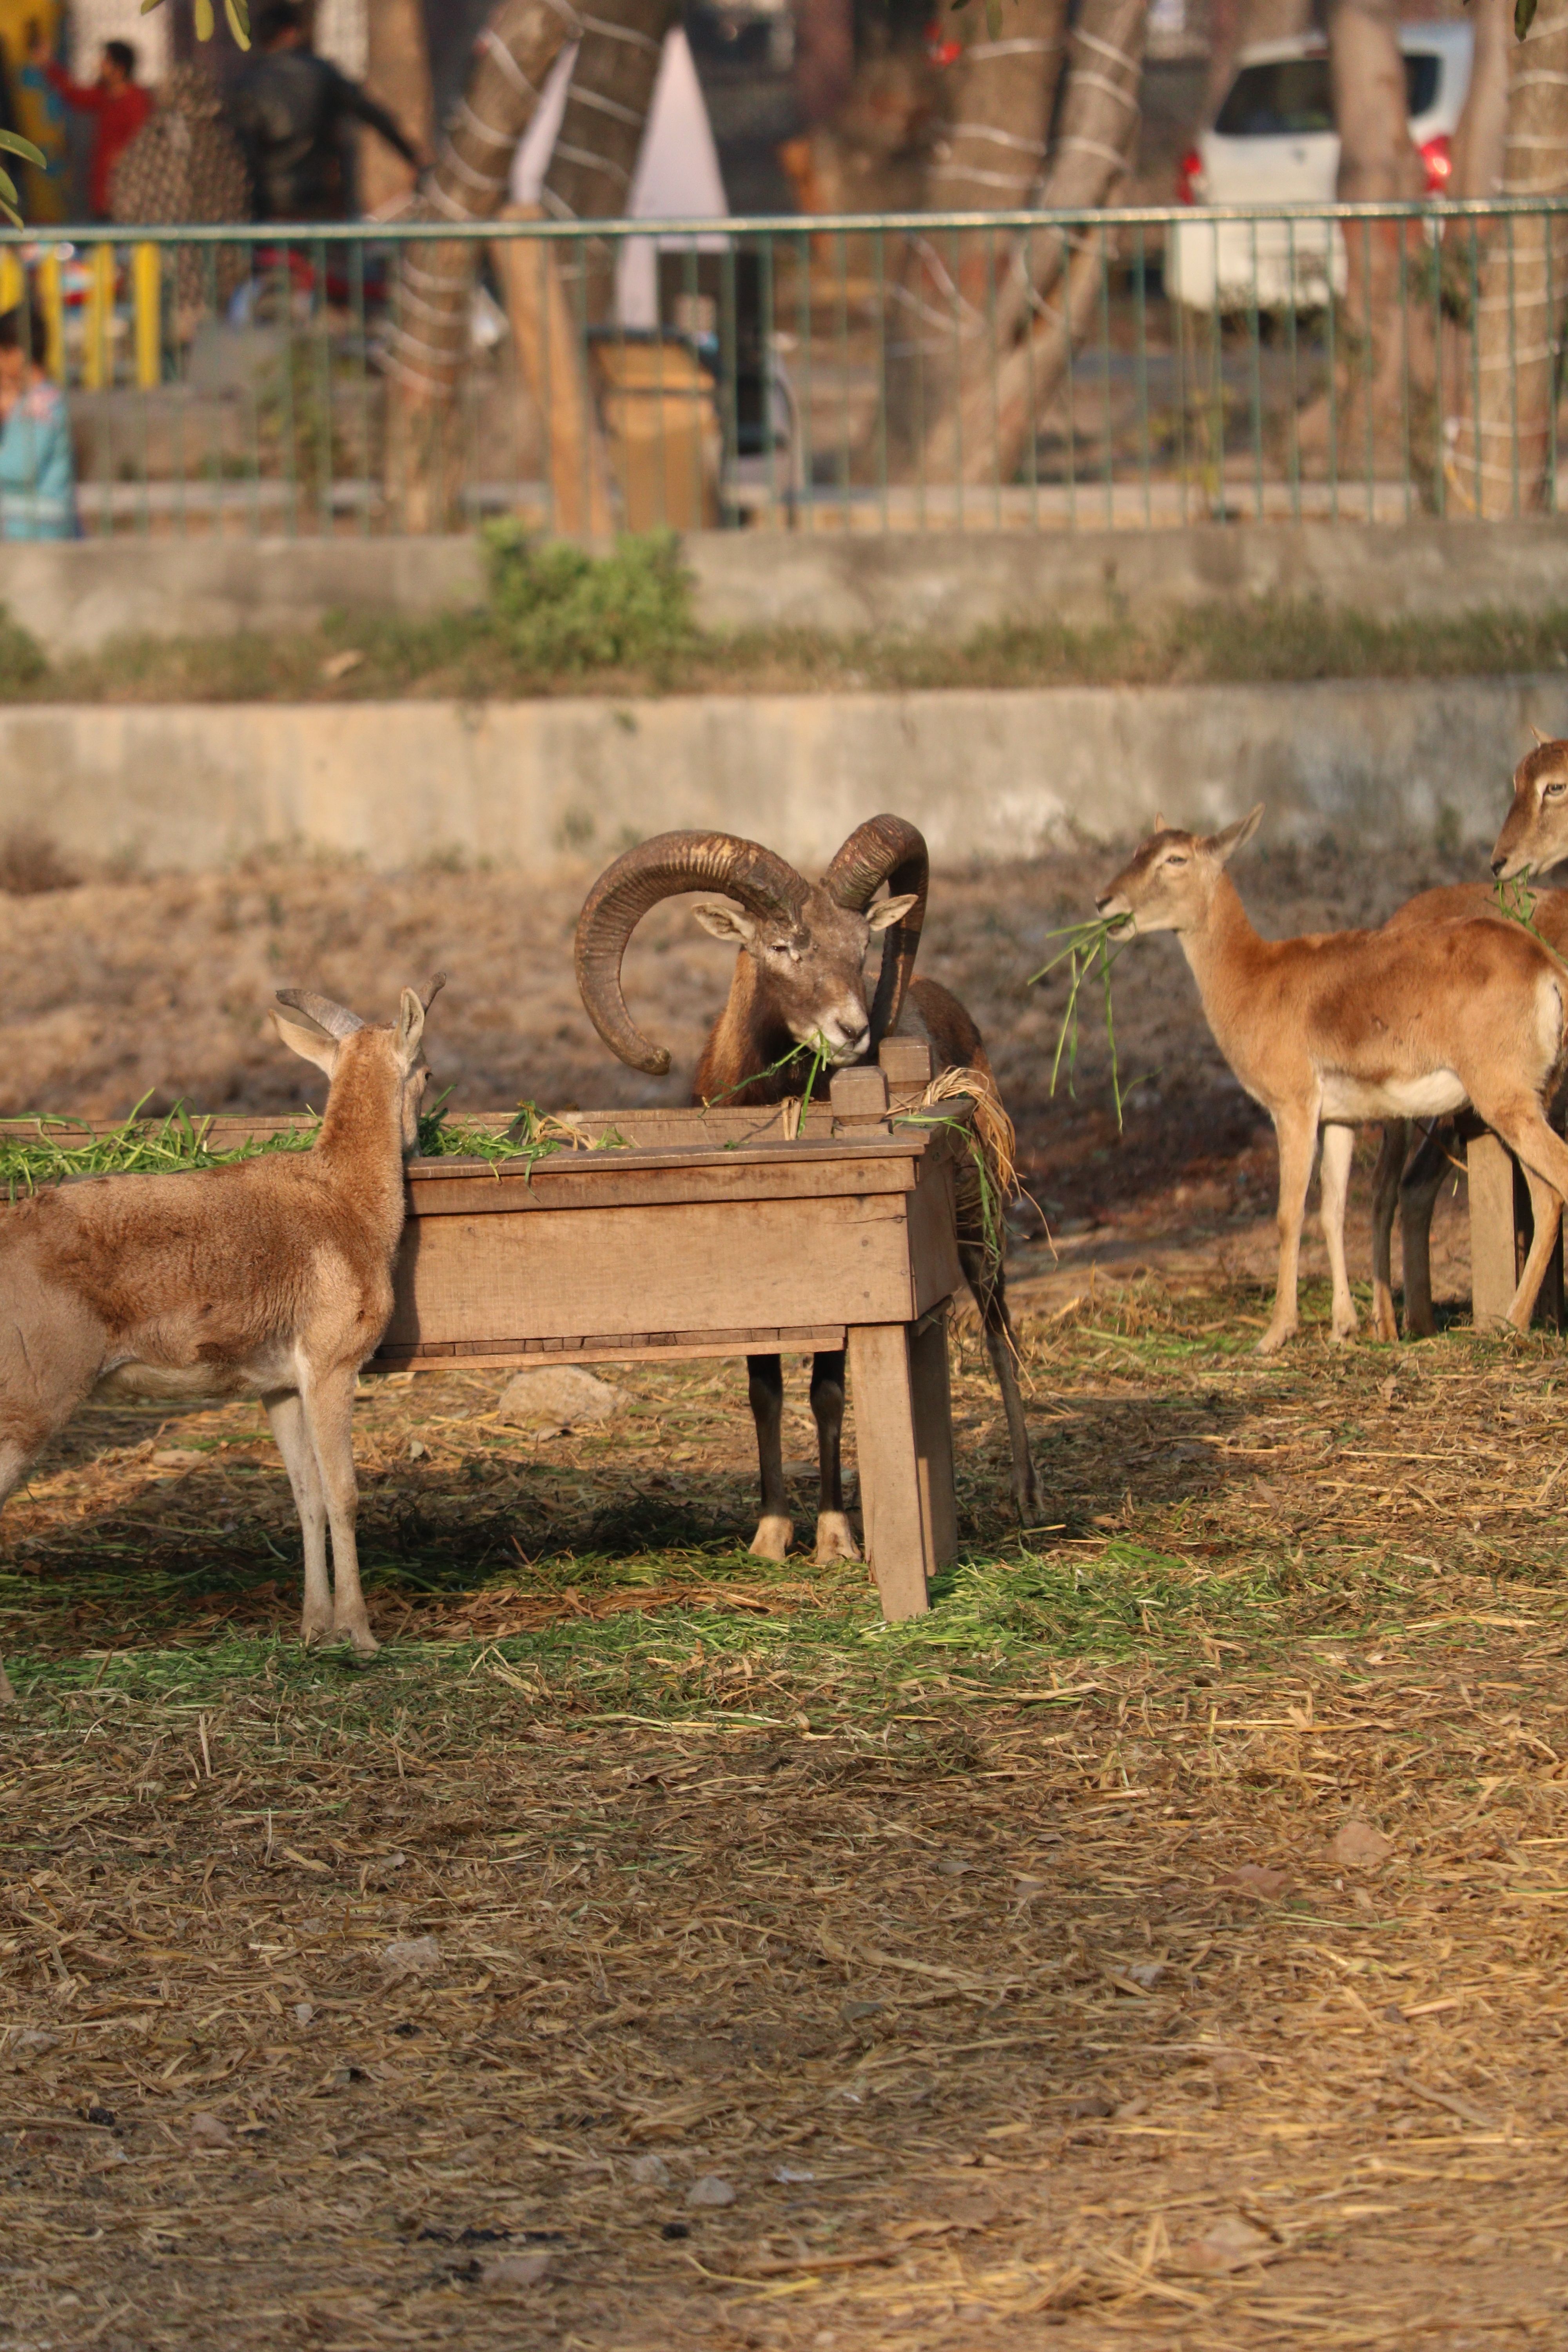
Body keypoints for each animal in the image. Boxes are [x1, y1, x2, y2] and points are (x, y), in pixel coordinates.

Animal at [0, 981, 435, 1705]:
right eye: (425, 1072)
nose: (418, 1138)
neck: (344, 1202)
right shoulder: (331, 1368)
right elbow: (344, 1494)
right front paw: (362, 1636)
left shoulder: (280, 1387)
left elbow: (306, 1496)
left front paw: (313, 1630)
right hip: (32, 1406)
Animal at [574, 820, 1041, 1562]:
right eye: (781, 947)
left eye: (863, 947)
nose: (854, 1031)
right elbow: (764, 1392)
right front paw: (770, 1534)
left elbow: (827, 1394)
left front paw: (833, 1537)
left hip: (980, 1228)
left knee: (1000, 1337)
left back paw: (1028, 1498)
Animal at [1096, 808, 1568, 1355]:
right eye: (1137, 850)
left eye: (1175, 859)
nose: (1105, 902)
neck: (1254, 980)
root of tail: (1549, 971)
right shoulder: (1339, 1119)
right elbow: (1333, 1209)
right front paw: (1344, 1327)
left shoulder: (1293, 1106)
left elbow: (1288, 1214)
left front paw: (1274, 1335)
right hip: (1529, 1098)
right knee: (1545, 1197)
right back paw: (1509, 1321)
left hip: (1503, 1100)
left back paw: (1508, 1323)